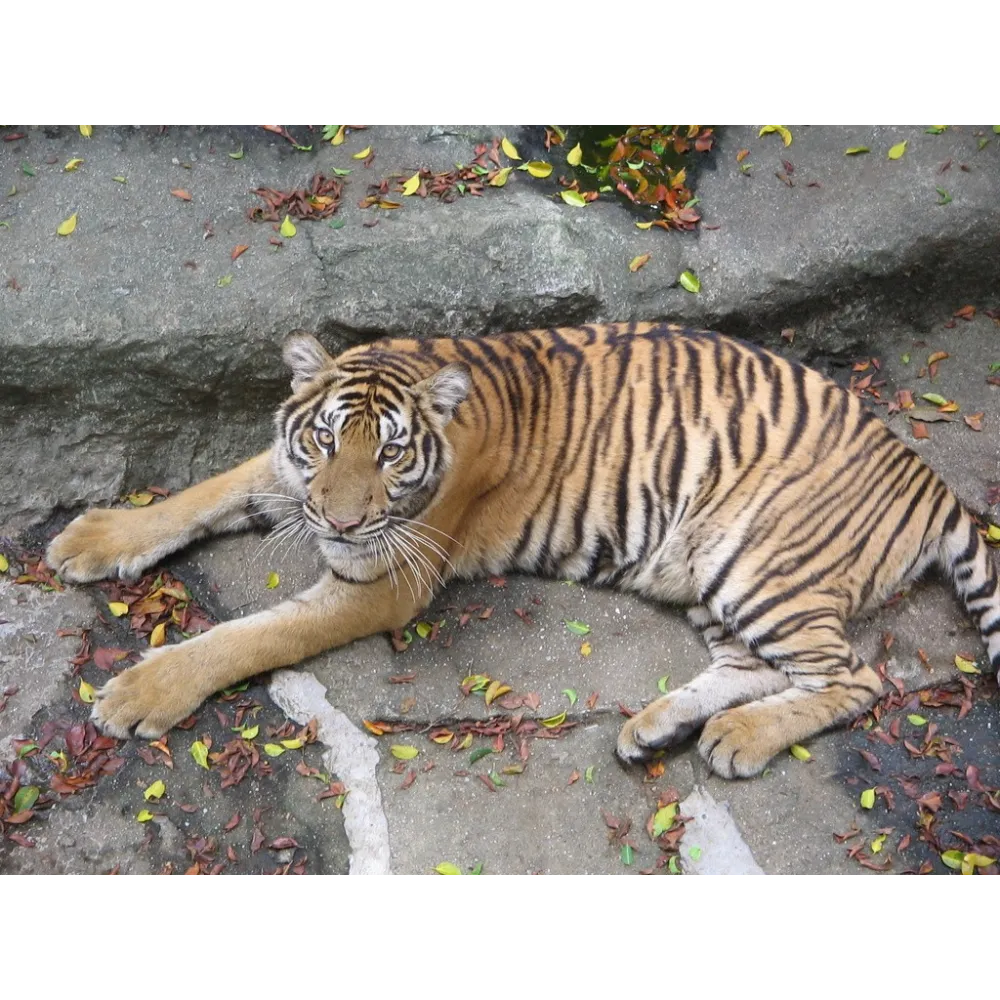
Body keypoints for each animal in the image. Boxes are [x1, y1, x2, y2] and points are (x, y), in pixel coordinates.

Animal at [45, 322, 1000, 779]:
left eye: (390, 453)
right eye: (323, 438)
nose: (342, 525)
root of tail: (931, 480)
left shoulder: (382, 579)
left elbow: (256, 634)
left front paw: (141, 693)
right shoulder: (292, 480)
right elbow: (202, 493)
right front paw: (91, 538)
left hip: (764, 564)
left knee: (857, 679)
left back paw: (739, 742)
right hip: (713, 582)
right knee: (761, 667)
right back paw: (660, 729)